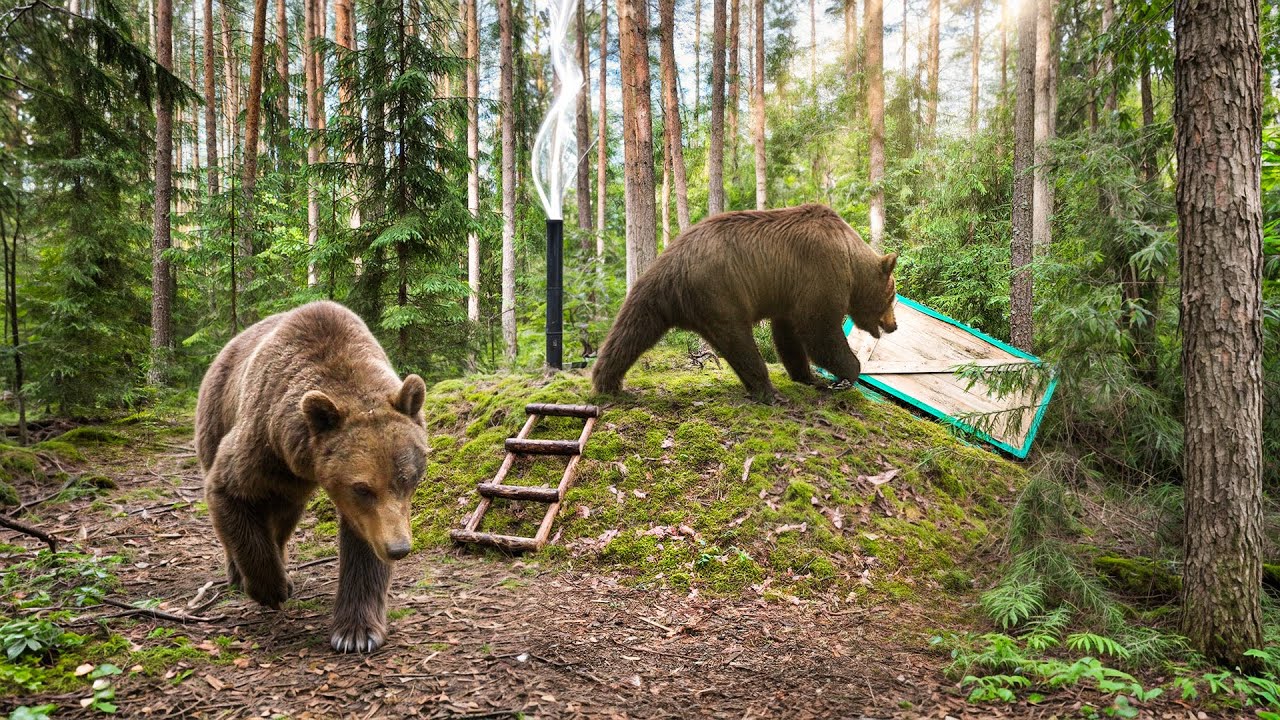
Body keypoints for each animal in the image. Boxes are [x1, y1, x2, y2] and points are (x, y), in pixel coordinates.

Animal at [195, 301, 429, 653]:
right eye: (362, 488)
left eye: (408, 479)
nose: (398, 548)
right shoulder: (264, 444)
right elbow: (229, 488)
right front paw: (270, 588)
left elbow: (363, 546)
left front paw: (356, 632)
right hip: (217, 411)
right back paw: (242, 574)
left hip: (288, 486)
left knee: (283, 514)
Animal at [591, 204, 899, 402]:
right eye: (892, 296)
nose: (894, 325)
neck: (850, 258)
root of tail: (673, 261)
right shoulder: (819, 273)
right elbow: (820, 332)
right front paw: (847, 374)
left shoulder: (789, 292)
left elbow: (788, 336)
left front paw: (808, 376)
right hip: (720, 294)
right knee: (740, 343)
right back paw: (769, 392)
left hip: (654, 297)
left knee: (631, 332)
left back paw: (607, 383)